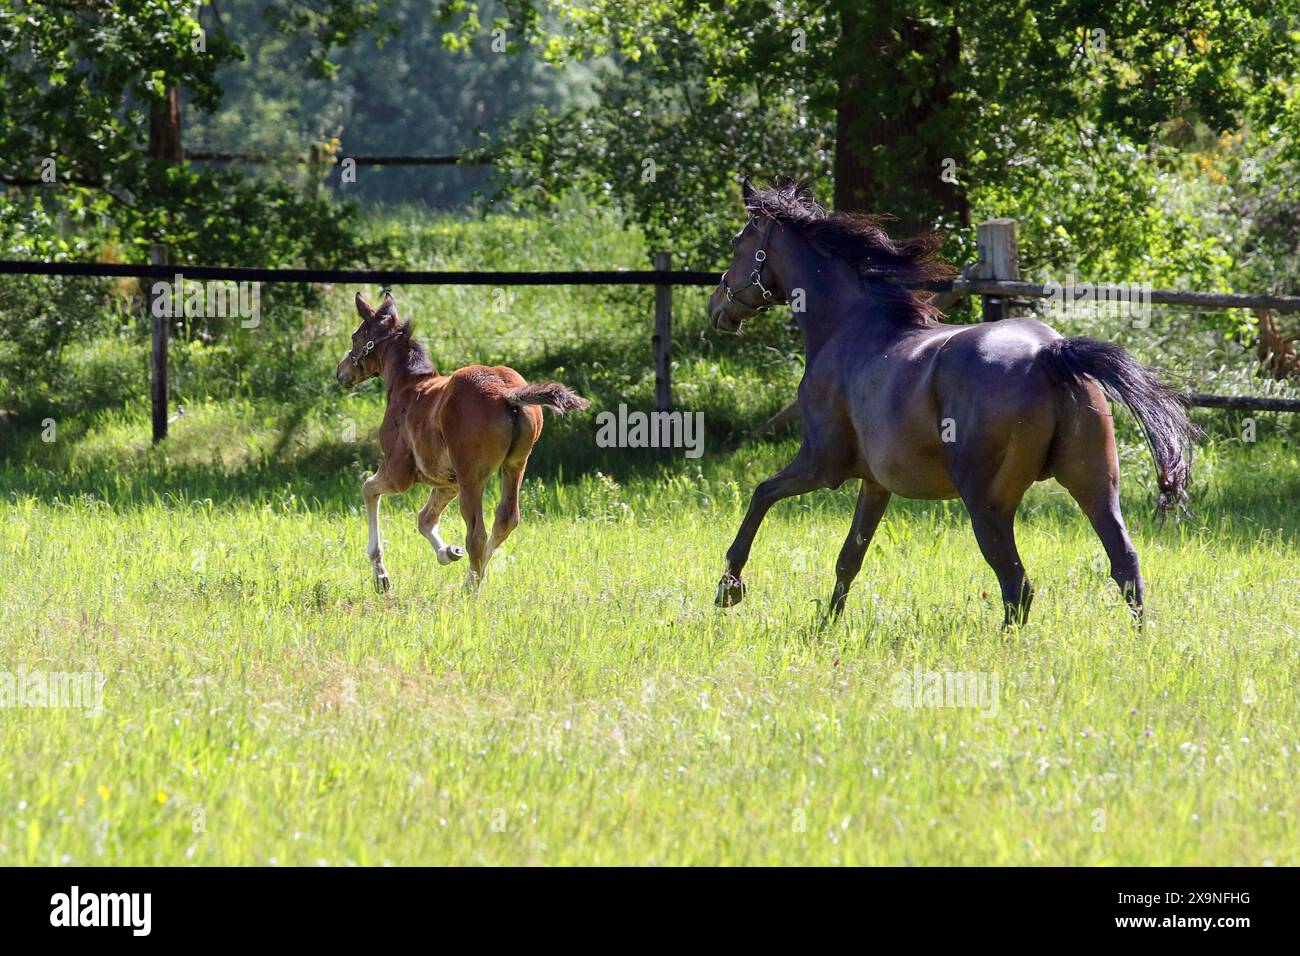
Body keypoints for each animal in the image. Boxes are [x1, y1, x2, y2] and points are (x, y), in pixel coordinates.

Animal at [336, 291, 589, 591]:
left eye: (355, 336)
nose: (340, 372)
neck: (407, 386)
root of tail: (507, 393)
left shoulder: (400, 472)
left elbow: (368, 489)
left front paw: (381, 576)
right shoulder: (447, 481)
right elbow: (425, 518)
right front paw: (448, 552)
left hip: (472, 476)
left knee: (476, 533)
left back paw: (470, 588)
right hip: (515, 464)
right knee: (506, 519)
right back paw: (473, 579)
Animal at [707, 179, 1196, 626]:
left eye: (737, 243)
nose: (718, 308)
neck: (849, 325)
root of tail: (1049, 352)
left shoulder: (821, 465)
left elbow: (761, 494)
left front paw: (729, 589)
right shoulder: (875, 484)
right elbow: (849, 558)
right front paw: (827, 626)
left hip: (988, 503)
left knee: (1017, 585)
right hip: (1094, 485)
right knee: (1125, 565)